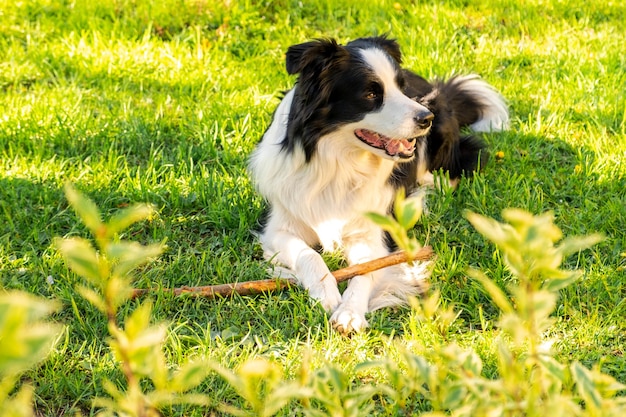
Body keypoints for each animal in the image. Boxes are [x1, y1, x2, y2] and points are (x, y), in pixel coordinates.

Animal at [246, 35, 504, 332]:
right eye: (370, 94)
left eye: (401, 89)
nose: (425, 118)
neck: (339, 165)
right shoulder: (278, 227)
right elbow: (308, 255)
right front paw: (325, 293)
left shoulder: (374, 233)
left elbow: (366, 270)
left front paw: (350, 312)